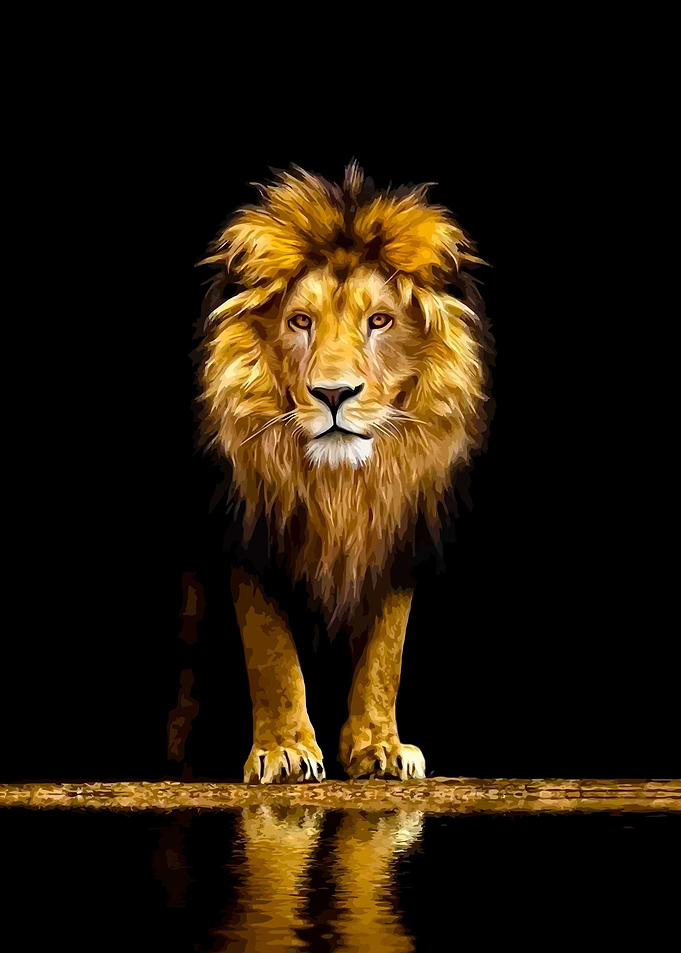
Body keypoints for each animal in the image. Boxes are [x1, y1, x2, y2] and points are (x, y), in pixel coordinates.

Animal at [198, 161, 489, 783]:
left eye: (379, 320)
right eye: (299, 321)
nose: (334, 394)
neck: (340, 487)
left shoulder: (399, 533)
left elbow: (385, 653)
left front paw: (380, 747)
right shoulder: (245, 533)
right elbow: (269, 648)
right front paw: (284, 750)